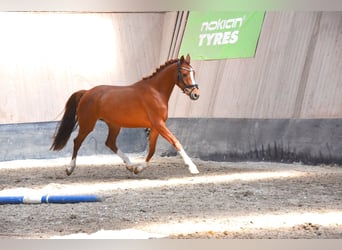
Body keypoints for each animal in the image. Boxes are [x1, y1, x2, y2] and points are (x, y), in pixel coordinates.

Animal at [51, 54, 200, 176]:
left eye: (194, 73)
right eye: (184, 74)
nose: (196, 94)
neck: (156, 92)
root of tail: (87, 92)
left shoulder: (156, 127)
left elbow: (152, 150)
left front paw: (138, 169)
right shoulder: (159, 124)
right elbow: (176, 142)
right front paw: (192, 168)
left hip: (114, 125)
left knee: (110, 143)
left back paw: (130, 165)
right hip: (88, 124)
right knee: (77, 142)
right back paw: (70, 169)